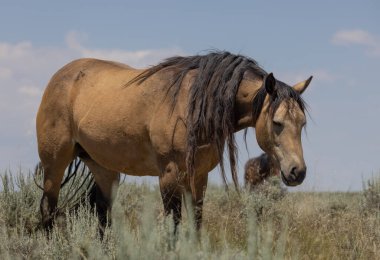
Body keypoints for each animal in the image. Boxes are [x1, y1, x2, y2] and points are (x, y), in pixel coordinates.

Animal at [36, 50, 312, 230]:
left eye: (302, 123)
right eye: (277, 122)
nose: (297, 172)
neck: (194, 107)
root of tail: (60, 77)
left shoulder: (198, 177)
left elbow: (195, 225)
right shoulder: (169, 176)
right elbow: (175, 226)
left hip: (103, 168)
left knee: (103, 216)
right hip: (55, 164)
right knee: (48, 212)